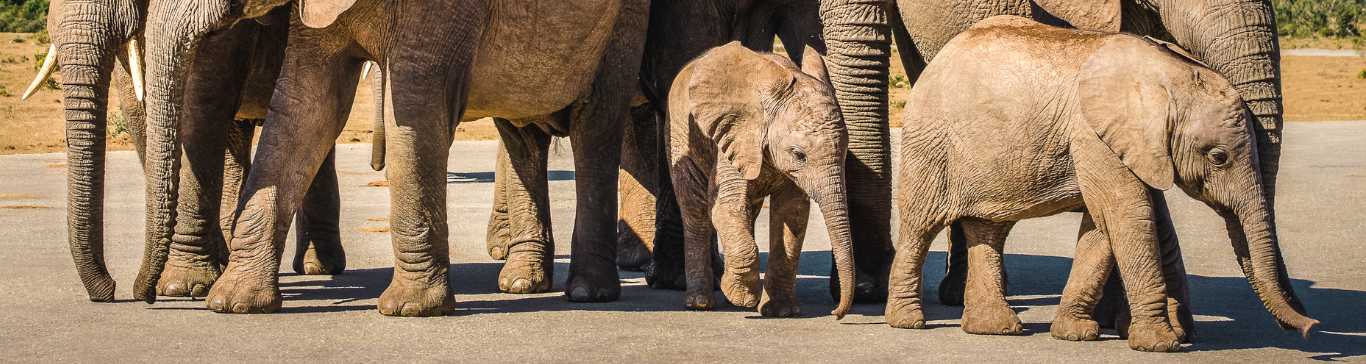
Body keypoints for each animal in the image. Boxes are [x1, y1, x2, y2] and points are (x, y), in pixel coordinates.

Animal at [39, 0, 355, 301]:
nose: (111, 290)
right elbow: (137, 108)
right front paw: (201, 273)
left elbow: (204, 98)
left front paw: (181, 286)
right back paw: (229, 257)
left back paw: (317, 267)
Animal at [135, 0, 647, 314]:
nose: (145, 297)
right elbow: (305, 103)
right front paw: (233, 302)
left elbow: (415, 103)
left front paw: (410, 309)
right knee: (521, 131)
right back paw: (526, 283)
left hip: (624, 21)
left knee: (596, 124)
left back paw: (589, 292)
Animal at [663, 41, 852, 317]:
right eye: (799, 155)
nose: (835, 313)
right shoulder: (733, 137)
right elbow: (724, 207)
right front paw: (743, 298)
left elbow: (792, 214)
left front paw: (782, 312)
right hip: (679, 136)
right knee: (695, 211)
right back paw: (699, 303)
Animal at [890, 17, 1316, 353]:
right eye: (1218, 157)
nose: (1310, 328)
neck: (1167, 74)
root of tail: (939, 58)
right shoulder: (1094, 135)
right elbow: (1127, 213)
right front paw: (1161, 345)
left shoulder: (1120, 144)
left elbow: (1102, 226)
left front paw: (1075, 335)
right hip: (929, 142)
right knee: (920, 226)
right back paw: (908, 321)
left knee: (989, 228)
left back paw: (995, 329)